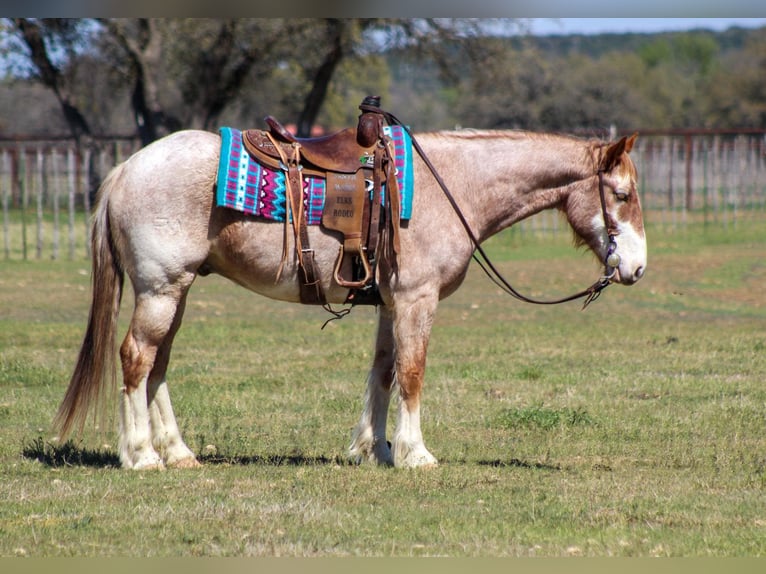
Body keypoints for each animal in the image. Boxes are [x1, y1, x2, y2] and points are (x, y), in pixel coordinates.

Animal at [54, 127, 647, 470]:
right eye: (621, 195)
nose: (636, 268)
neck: (449, 184)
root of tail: (127, 169)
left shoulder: (390, 302)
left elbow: (383, 373)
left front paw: (374, 449)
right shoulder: (416, 300)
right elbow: (412, 372)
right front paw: (415, 454)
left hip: (175, 293)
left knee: (157, 366)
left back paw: (177, 453)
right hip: (160, 289)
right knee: (137, 359)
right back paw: (141, 457)